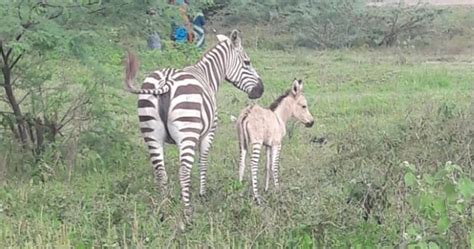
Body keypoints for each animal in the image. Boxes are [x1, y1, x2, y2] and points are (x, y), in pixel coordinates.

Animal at [123, 30, 262, 221]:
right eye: (247, 62)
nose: (261, 89)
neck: (207, 76)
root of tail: (166, 79)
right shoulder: (208, 133)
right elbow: (203, 162)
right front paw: (202, 194)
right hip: (186, 133)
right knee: (183, 172)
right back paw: (187, 212)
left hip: (151, 133)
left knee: (161, 172)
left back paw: (165, 207)